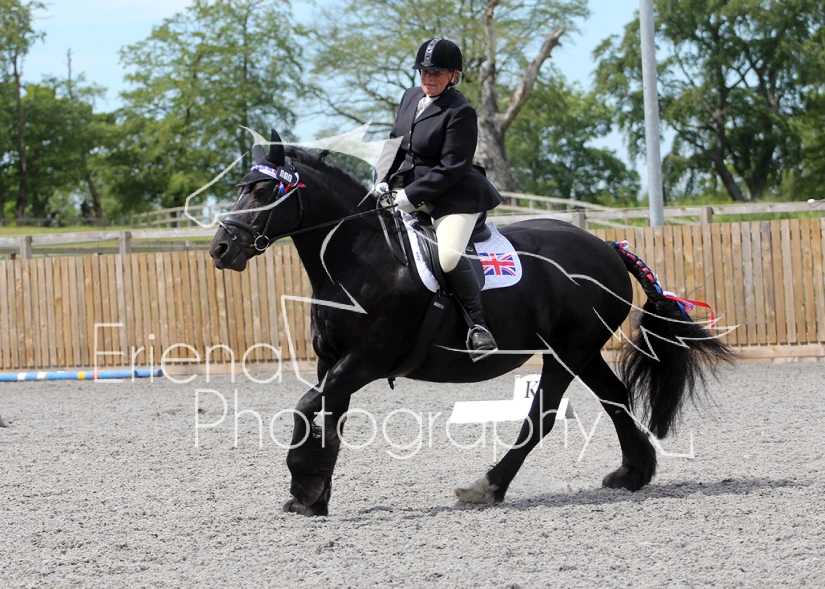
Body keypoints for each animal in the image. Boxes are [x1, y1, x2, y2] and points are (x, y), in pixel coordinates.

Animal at [209, 131, 733, 516]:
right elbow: (326, 422)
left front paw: (302, 483)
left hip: (566, 352)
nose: (220, 249)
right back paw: (632, 473)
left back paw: (487, 487)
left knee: (542, 415)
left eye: (263, 190)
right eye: (241, 187)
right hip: (580, 351)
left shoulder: (364, 361)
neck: (359, 258)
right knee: (615, 397)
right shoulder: (332, 362)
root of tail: (606, 247)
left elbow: (304, 408)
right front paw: (315, 496)